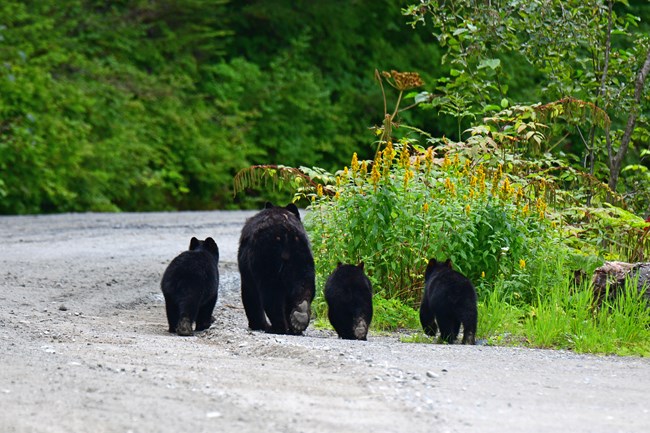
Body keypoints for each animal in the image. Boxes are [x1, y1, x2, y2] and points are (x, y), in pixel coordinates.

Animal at [237, 202, 316, 334]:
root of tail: (286, 233)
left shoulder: (248, 271)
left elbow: (250, 293)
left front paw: (257, 324)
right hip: (301, 255)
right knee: (305, 284)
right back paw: (300, 317)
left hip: (266, 259)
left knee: (272, 295)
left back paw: (277, 327)